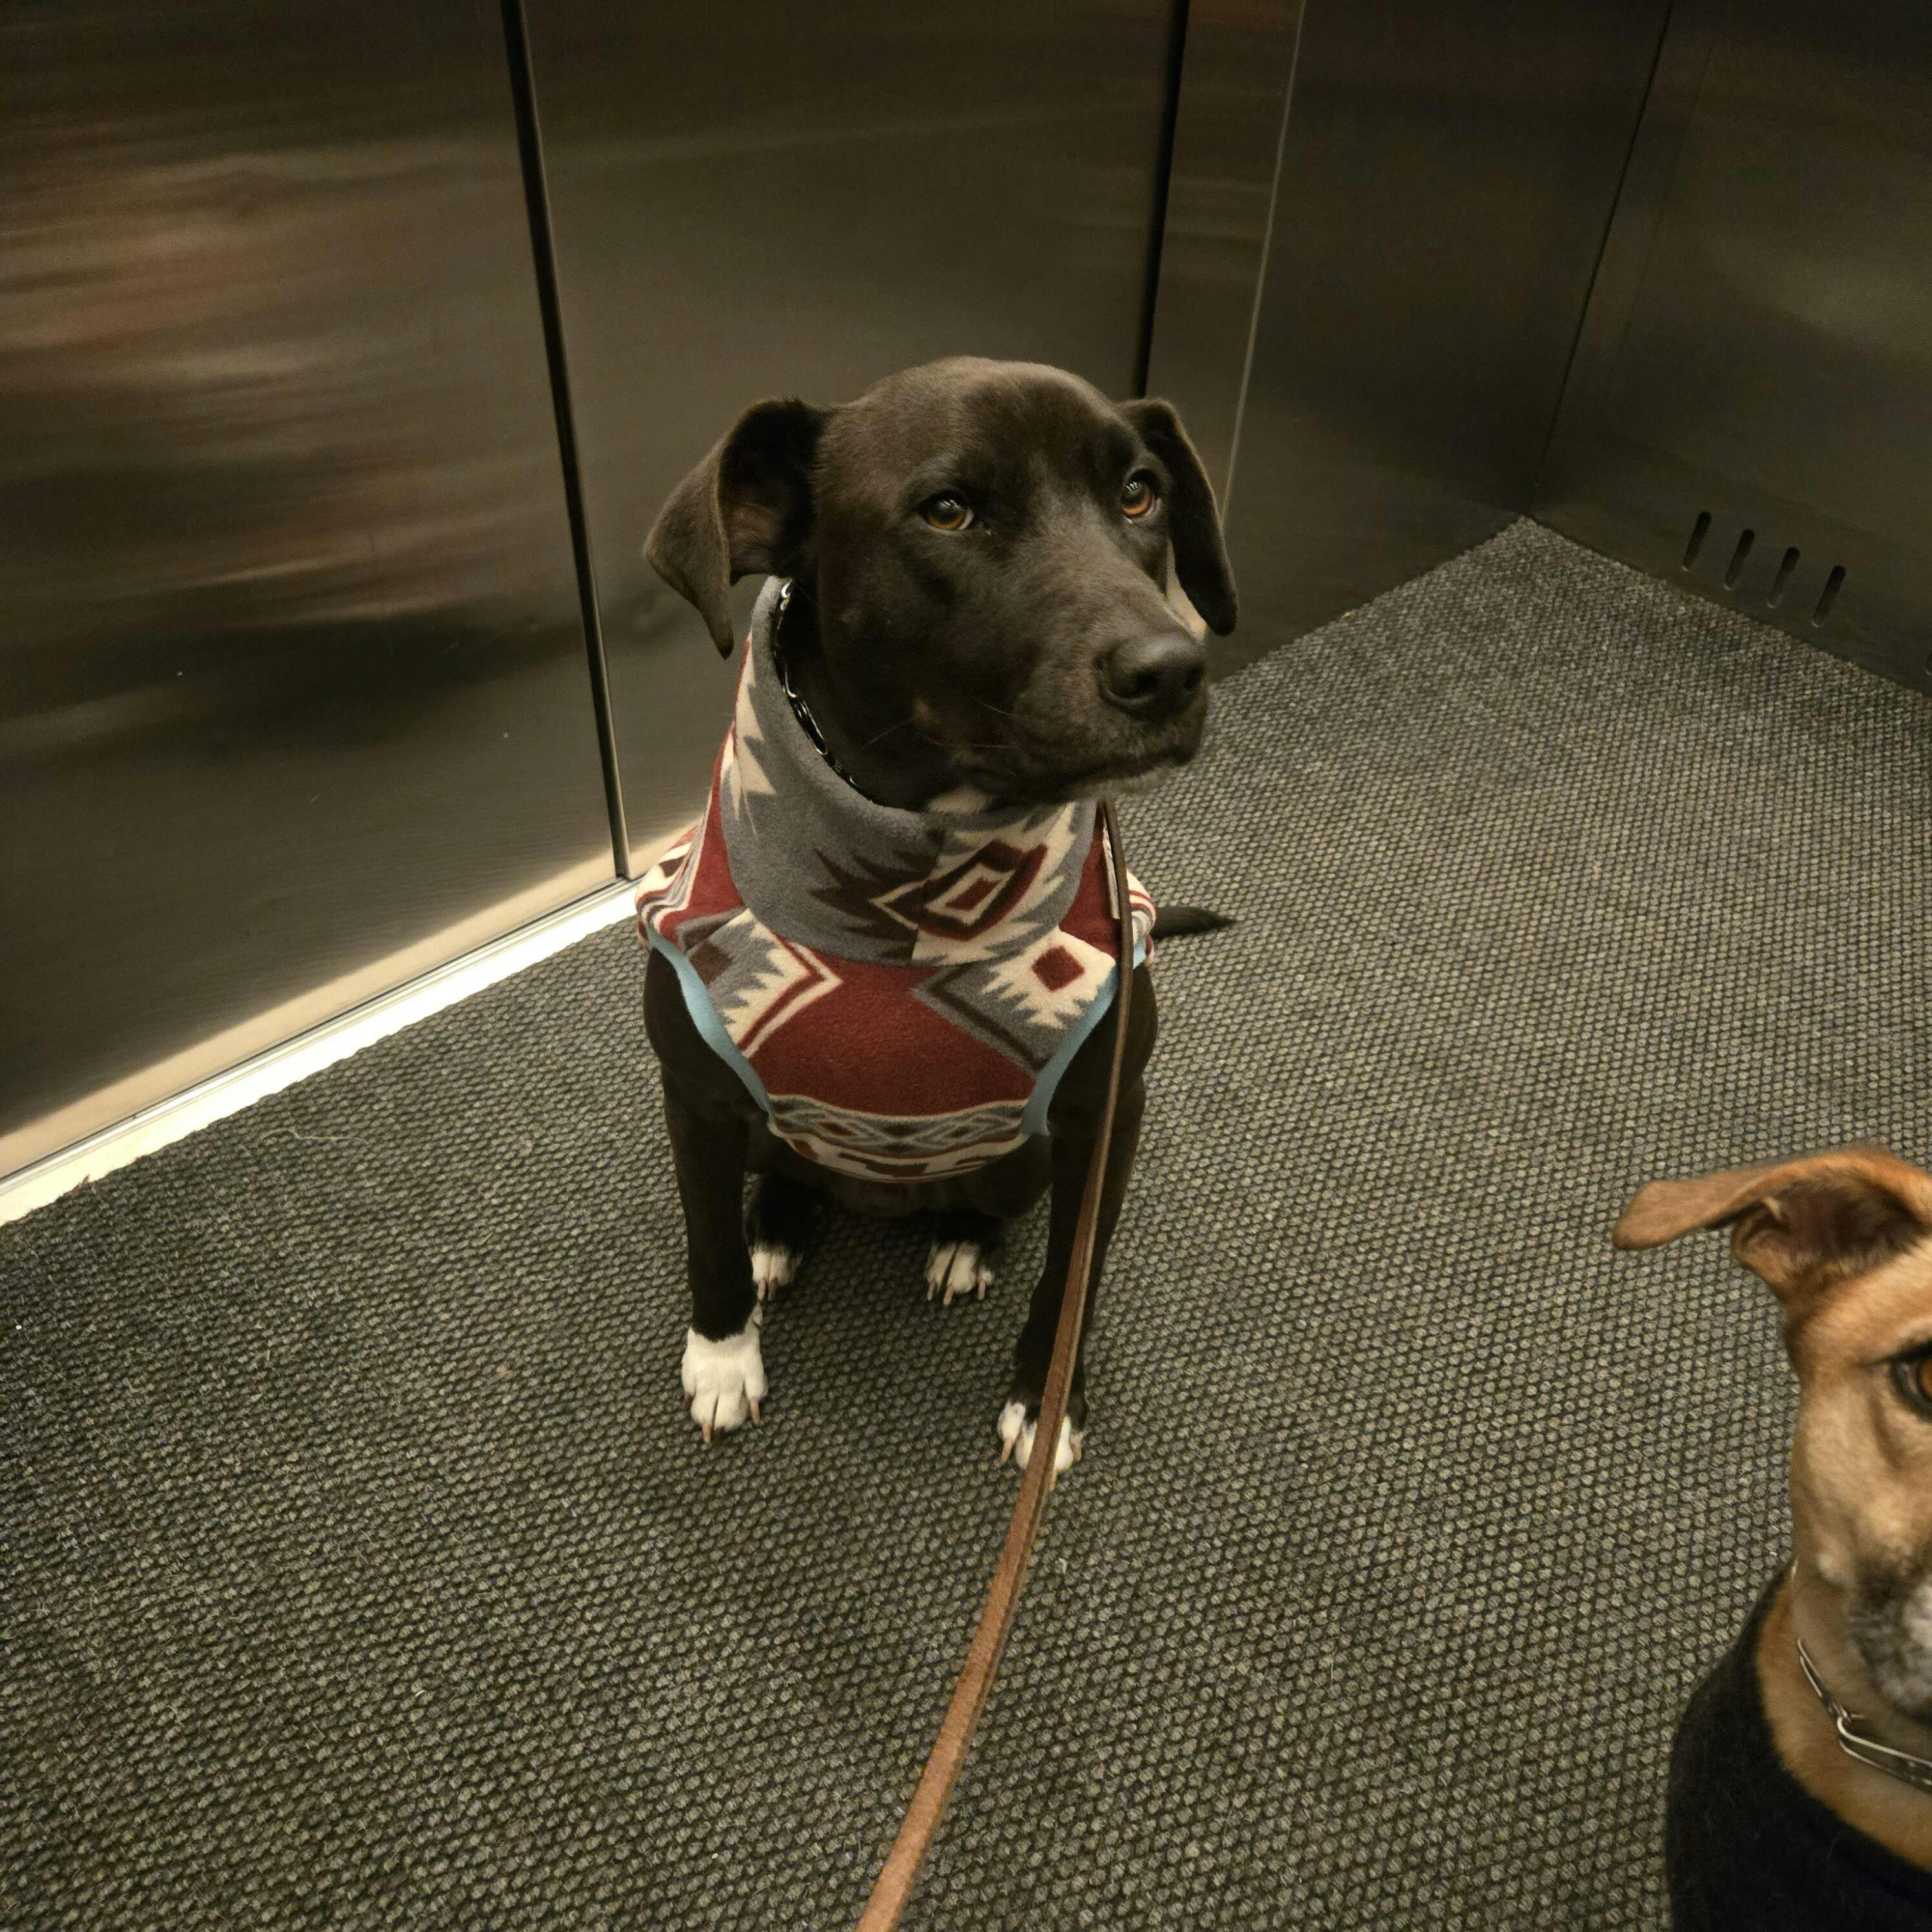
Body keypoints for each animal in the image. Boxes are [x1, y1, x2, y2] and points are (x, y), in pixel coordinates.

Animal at [635, 358, 1237, 1473]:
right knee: (782, 1178)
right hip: (759, 1128)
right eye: (948, 510)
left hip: (1025, 1156)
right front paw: (723, 1357)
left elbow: (1070, 1279)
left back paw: (961, 1242)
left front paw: (1046, 1403)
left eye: (1140, 492)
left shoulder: (1104, 1119)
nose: (1171, 669)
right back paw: (778, 1227)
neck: (914, 881)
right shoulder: (694, 1095)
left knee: (987, 1206)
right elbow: (707, 1243)